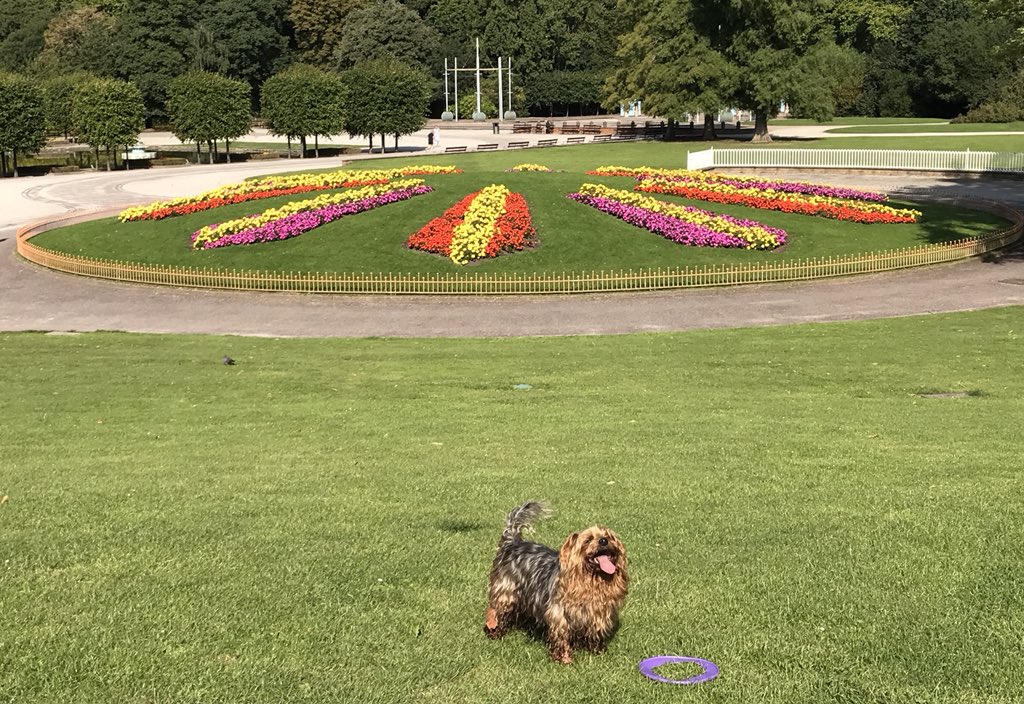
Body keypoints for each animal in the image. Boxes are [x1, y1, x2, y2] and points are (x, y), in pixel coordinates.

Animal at [483, 503, 626, 663]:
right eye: (588, 539)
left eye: (609, 536)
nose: (603, 541)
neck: (591, 579)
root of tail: (512, 543)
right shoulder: (559, 613)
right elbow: (561, 634)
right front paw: (563, 658)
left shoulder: (598, 612)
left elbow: (595, 631)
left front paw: (597, 650)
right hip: (505, 590)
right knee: (495, 611)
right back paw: (494, 631)